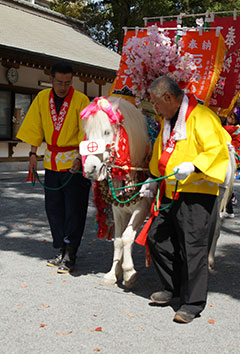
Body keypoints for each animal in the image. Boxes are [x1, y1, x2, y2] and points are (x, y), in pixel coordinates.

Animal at [79, 97, 153, 288]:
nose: (90, 169)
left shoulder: (141, 209)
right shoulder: (119, 210)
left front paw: (129, 273)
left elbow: (127, 237)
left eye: (106, 132)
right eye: (87, 134)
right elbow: (119, 240)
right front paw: (113, 274)